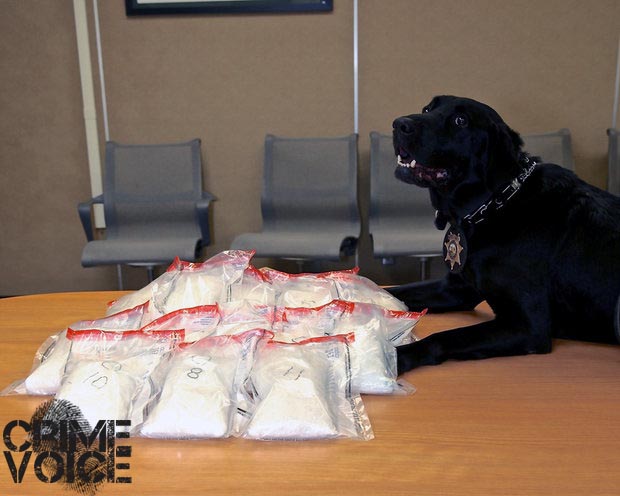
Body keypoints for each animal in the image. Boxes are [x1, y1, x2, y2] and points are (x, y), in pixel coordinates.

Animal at [388, 95, 620, 373]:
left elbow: (444, 337)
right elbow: (391, 291)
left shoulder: (527, 326)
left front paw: (396, 356)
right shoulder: (454, 289)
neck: (494, 204)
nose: (399, 124)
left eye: (460, 120)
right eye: (427, 108)